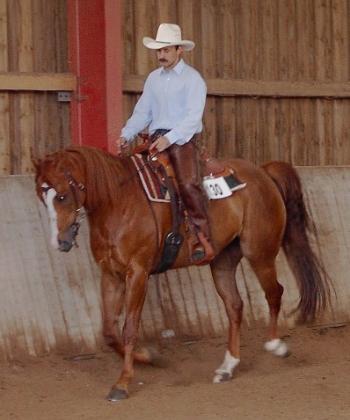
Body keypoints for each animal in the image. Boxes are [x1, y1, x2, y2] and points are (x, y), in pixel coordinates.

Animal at [33, 147, 330, 400]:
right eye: (42, 196)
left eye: (62, 195)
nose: (59, 242)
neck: (118, 202)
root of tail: (263, 172)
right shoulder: (111, 275)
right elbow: (108, 330)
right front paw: (150, 357)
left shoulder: (138, 273)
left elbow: (129, 329)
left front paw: (122, 383)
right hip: (222, 261)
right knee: (235, 306)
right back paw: (227, 367)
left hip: (260, 253)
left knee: (274, 293)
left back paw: (275, 345)